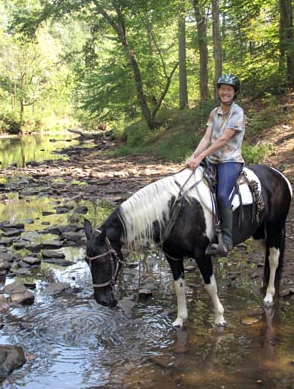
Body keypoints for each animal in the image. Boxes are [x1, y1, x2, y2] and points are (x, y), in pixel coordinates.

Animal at [82, 164, 292, 328]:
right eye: (86, 261)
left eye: (103, 261)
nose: (102, 301)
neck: (174, 210)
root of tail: (280, 176)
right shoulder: (173, 256)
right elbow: (179, 286)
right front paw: (180, 320)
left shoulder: (202, 255)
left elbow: (210, 286)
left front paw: (220, 318)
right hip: (260, 233)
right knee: (267, 257)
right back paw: (264, 287)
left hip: (274, 227)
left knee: (274, 259)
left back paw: (269, 296)